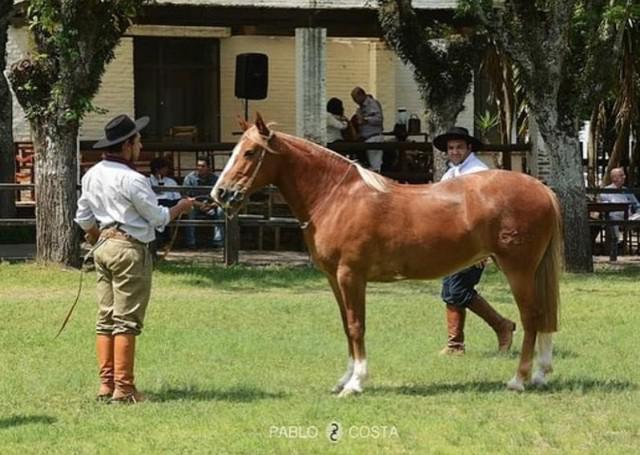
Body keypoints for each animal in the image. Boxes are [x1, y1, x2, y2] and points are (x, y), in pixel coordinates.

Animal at [212, 116, 564, 398]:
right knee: (541, 316)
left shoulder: (351, 275)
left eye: (250, 152)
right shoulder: (335, 279)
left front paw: (356, 384)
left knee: (532, 317)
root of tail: (542, 189)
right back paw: (540, 374)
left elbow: (357, 326)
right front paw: (344, 380)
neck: (337, 198)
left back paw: (518, 380)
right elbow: (346, 325)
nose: (221, 193)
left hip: (518, 269)